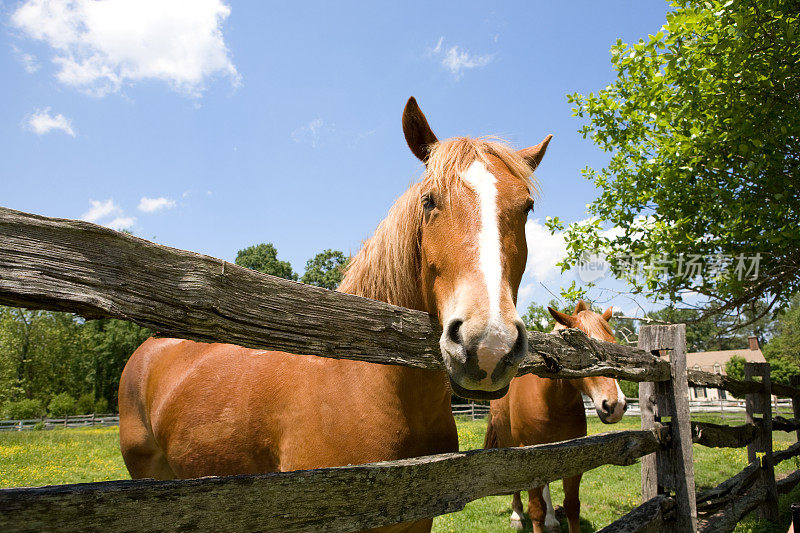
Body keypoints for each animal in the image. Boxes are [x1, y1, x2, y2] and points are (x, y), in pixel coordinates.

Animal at [484, 302, 628, 528]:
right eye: (583, 351)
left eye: (613, 348)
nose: (616, 405)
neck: (551, 402)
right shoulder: (527, 455)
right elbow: (536, 509)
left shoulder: (573, 454)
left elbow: (571, 506)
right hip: (509, 441)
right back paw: (517, 514)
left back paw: (551, 519)